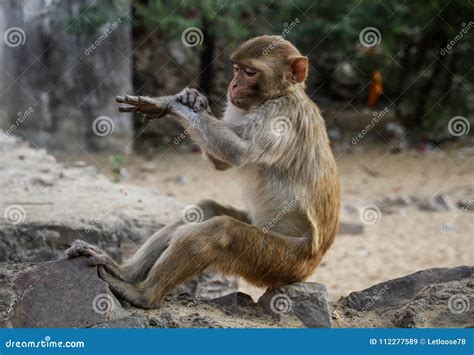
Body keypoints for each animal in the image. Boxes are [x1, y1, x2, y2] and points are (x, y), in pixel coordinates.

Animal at [66, 34, 340, 310]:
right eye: (237, 69)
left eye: (250, 72)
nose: (233, 85)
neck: (279, 94)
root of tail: (310, 265)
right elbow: (223, 163)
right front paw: (193, 99)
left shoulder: (281, 114)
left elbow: (238, 152)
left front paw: (170, 103)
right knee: (206, 210)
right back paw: (125, 272)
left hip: (281, 261)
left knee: (220, 231)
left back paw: (142, 294)